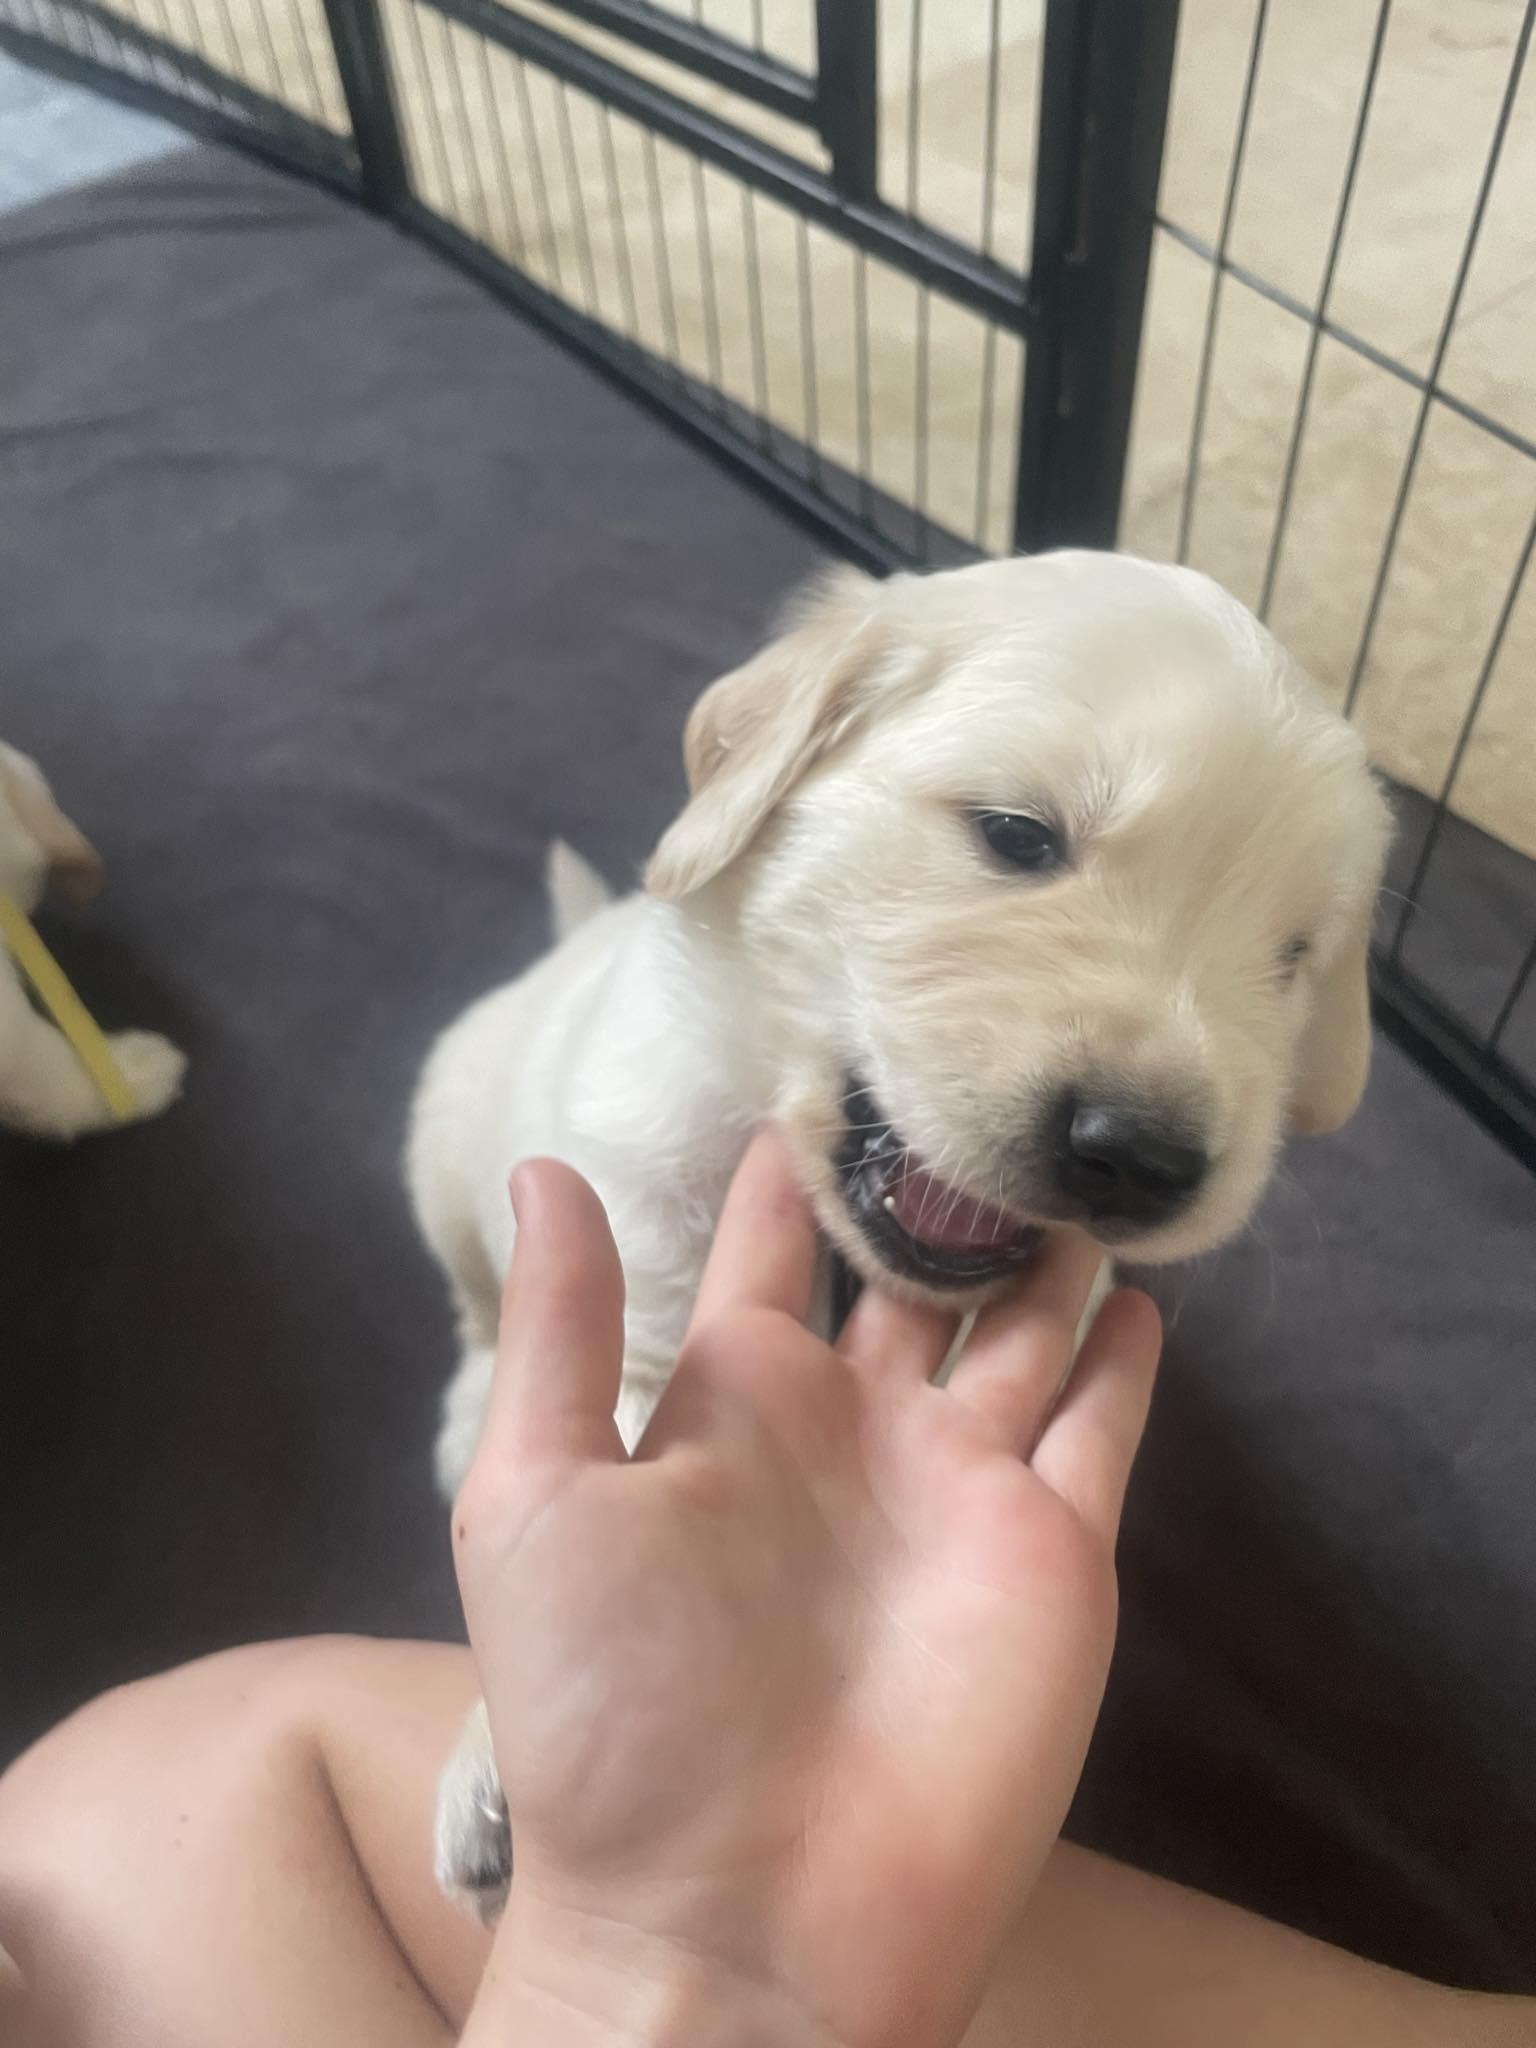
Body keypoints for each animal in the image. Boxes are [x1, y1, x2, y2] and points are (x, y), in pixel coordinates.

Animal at [407, 549, 1392, 1914]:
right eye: (1018, 834)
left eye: (1295, 954)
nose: (1145, 1157)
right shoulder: (637, 1231)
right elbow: (614, 1414)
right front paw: (491, 1768)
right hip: (446, 1137)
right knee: (470, 1298)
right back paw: (467, 1411)